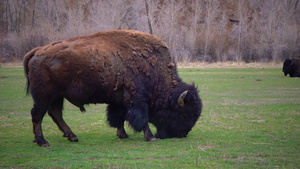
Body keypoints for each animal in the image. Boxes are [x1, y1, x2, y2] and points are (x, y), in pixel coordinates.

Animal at [23, 30, 202, 147]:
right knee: (38, 115)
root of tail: (37, 51)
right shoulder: (137, 100)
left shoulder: (119, 100)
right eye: (185, 114)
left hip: (57, 97)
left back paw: (72, 137)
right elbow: (141, 119)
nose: (183, 134)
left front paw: (123, 135)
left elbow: (118, 117)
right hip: (44, 97)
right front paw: (150, 137)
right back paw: (42, 141)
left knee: (56, 114)